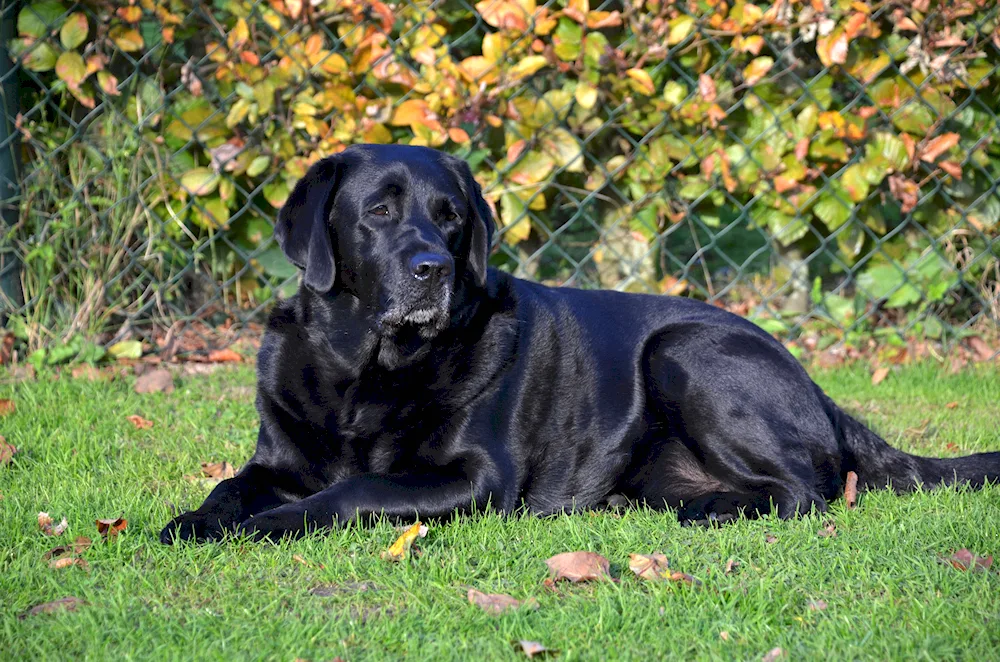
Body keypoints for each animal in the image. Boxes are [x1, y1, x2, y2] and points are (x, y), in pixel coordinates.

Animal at [160, 145, 996, 544]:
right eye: (380, 211)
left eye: (450, 216)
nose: (432, 268)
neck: (363, 373)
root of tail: (813, 381)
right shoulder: (274, 461)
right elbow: (228, 487)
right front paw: (196, 522)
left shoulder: (474, 479)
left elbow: (353, 490)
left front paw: (271, 526)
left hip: (682, 350)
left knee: (805, 491)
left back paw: (714, 513)